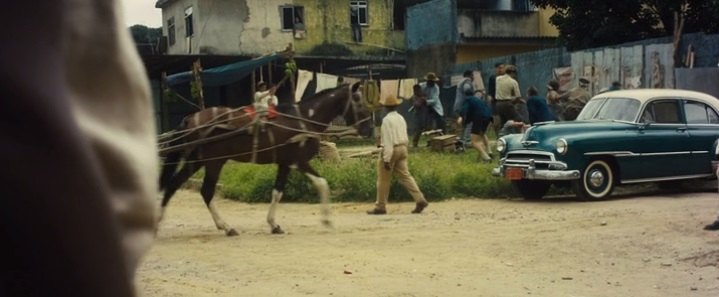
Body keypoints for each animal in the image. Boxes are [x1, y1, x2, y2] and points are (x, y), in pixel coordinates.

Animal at [160, 82, 374, 234]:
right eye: (359, 101)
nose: (368, 129)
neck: (304, 119)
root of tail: (191, 118)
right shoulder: (298, 160)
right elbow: (322, 183)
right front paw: (327, 220)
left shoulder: (285, 163)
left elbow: (277, 192)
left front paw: (273, 224)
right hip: (214, 161)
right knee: (206, 191)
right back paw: (226, 226)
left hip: (196, 160)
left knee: (173, 185)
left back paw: (161, 217)